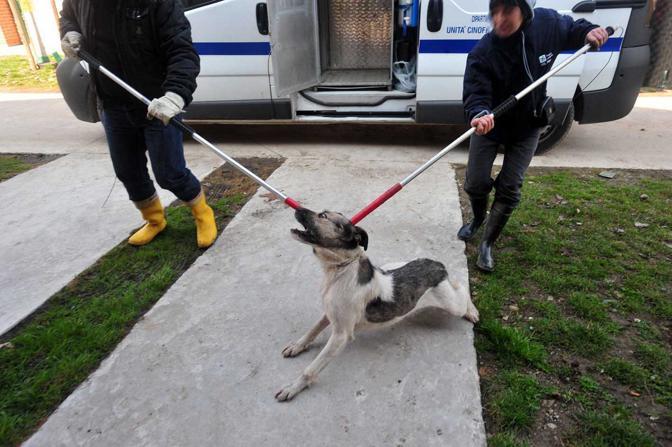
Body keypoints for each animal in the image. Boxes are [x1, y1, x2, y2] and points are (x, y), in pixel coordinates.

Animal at [274, 209, 478, 402]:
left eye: (323, 215)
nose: (297, 208)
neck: (339, 270)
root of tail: (436, 264)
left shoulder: (341, 335)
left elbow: (311, 368)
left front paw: (292, 387)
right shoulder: (330, 313)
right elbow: (312, 330)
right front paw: (297, 346)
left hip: (451, 303)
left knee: (461, 287)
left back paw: (472, 311)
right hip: (394, 265)